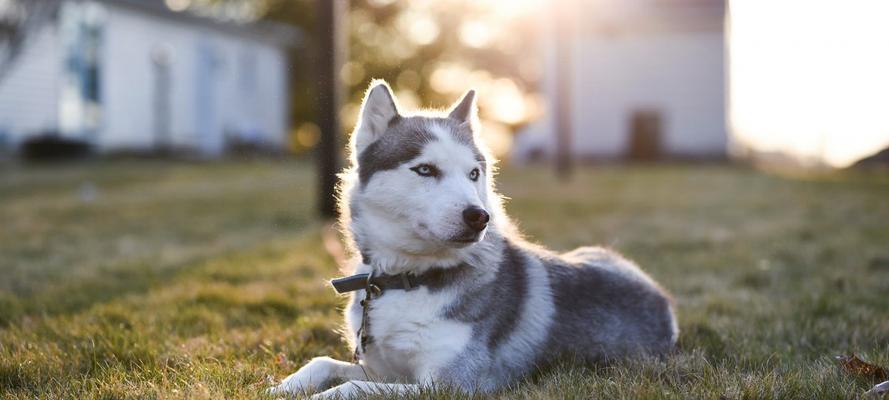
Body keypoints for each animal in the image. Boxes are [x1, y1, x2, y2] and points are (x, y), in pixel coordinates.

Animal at [268, 79, 676, 398]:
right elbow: (322, 362)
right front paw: (279, 387)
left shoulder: (452, 384)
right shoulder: (384, 369)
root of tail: (662, 300)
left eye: (474, 174)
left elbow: (354, 387)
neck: (408, 279)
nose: (479, 217)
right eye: (425, 170)